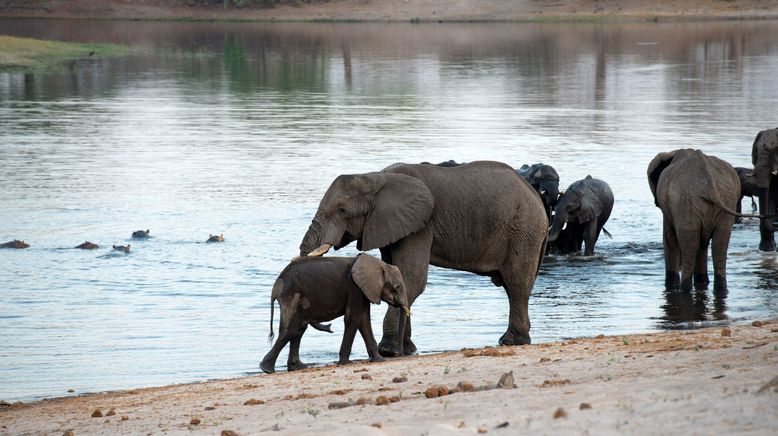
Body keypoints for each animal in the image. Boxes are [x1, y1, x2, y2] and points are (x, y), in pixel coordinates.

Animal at [260, 254, 410, 372]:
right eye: (396, 287)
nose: (399, 355)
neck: (378, 263)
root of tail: (276, 286)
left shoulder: (364, 291)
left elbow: (363, 321)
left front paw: (379, 360)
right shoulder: (354, 288)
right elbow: (353, 319)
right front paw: (345, 363)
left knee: (299, 329)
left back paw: (297, 367)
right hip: (292, 296)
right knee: (291, 330)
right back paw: (266, 369)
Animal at [298, 158, 544, 356]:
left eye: (342, 211)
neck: (375, 178)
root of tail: (536, 197)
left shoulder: (420, 226)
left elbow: (412, 279)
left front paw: (389, 351)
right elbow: (396, 275)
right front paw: (407, 350)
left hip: (524, 230)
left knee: (516, 284)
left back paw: (511, 341)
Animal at [644, 148, 756, 292]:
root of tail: (709, 185)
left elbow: (669, 240)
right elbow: (703, 244)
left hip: (685, 204)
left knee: (690, 247)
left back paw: (684, 289)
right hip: (726, 199)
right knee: (719, 244)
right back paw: (720, 289)